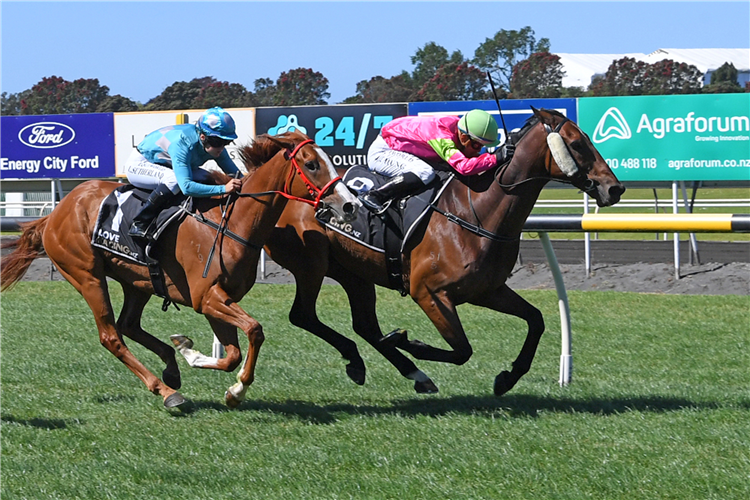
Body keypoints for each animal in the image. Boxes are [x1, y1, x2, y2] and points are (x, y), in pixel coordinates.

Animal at [0, 131, 362, 408]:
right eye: (312, 164)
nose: (350, 205)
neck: (233, 223)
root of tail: (55, 213)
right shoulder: (207, 298)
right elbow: (255, 330)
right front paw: (235, 389)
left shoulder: (217, 300)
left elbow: (232, 354)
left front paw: (192, 355)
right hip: (87, 275)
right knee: (111, 336)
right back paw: (166, 391)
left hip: (137, 281)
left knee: (129, 325)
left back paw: (171, 367)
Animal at [262, 108, 624, 394]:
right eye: (576, 144)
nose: (615, 188)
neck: (475, 212)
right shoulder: (429, 293)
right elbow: (462, 350)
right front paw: (407, 340)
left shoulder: (488, 290)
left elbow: (536, 320)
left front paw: (508, 377)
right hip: (311, 265)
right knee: (303, 315)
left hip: (354, 271)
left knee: (364, 326)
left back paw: (400, 370)